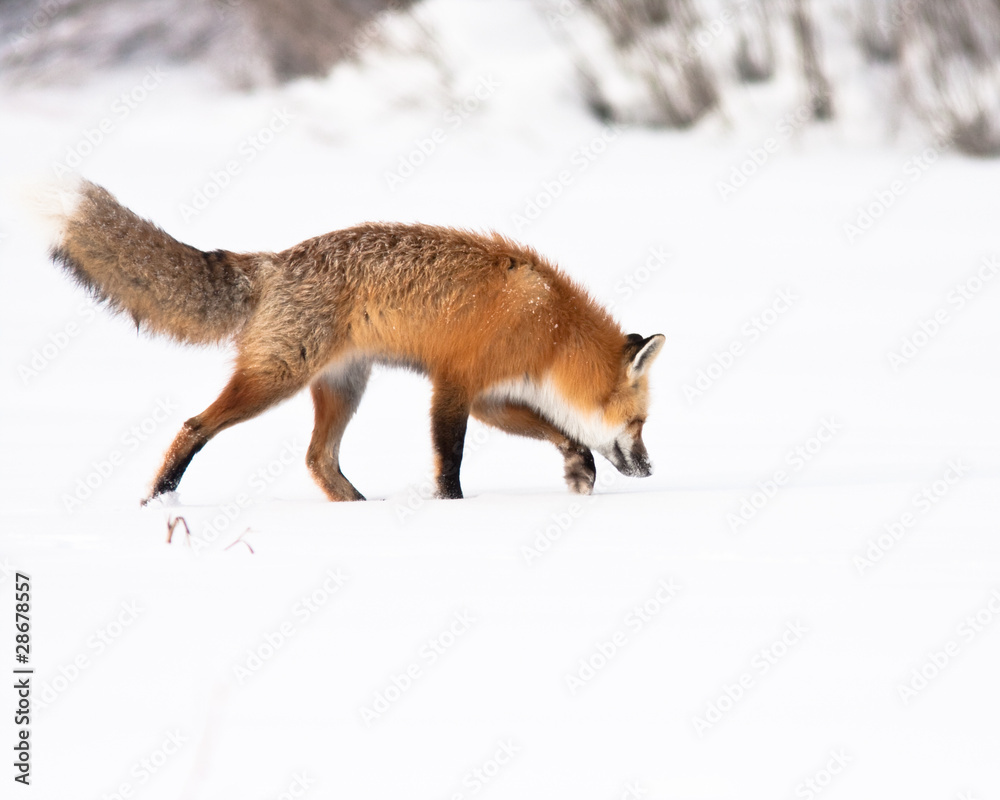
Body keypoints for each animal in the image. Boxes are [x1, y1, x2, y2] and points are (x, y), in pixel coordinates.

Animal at [40, 178, 664, 503]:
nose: (650, 470)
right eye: (639, 424)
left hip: (343, 387)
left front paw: (579, 470)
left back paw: (358, 514)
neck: (549, 327)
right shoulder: (454, 386)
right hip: (276, 380)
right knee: (195, 426)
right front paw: (454, 511)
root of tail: (274, 262)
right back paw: (160, 497)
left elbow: (560, 431)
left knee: (319, 460)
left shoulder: (491, 397)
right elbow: (451, 462)